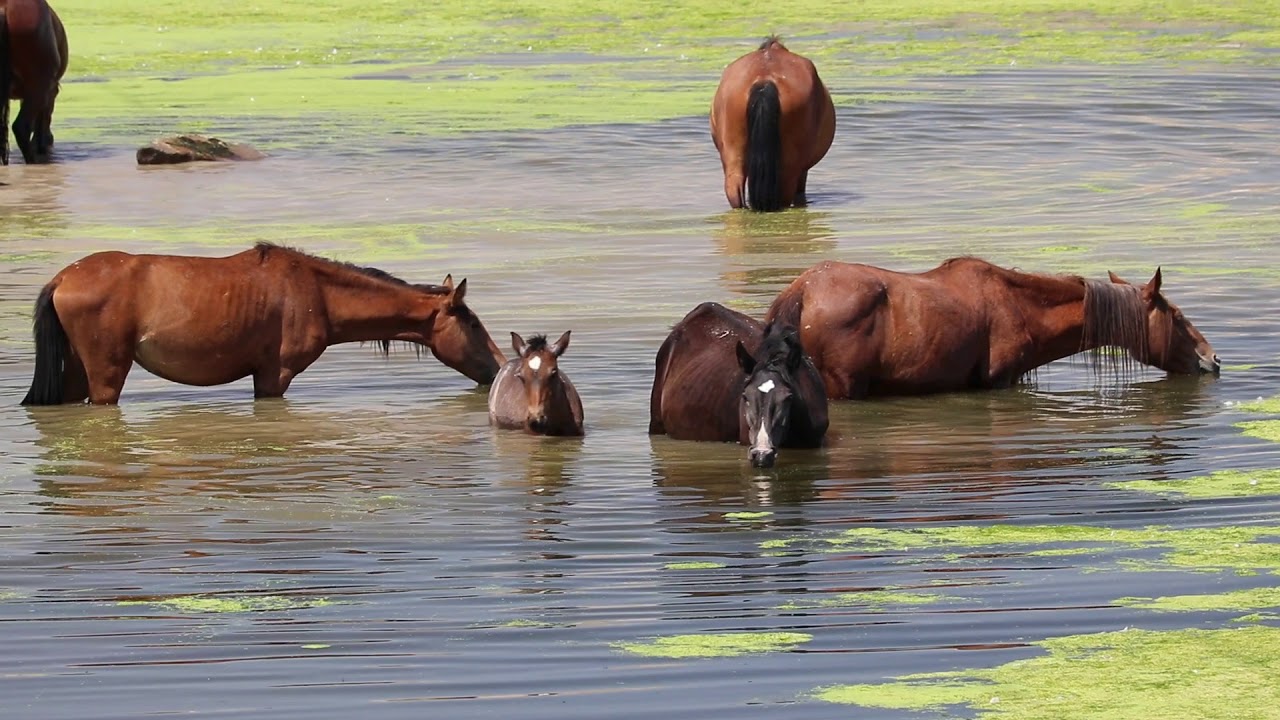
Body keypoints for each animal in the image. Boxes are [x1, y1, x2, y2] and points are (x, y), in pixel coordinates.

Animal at [20, 242, 506, 404]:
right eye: (473, 325)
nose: (499, 367)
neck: (317, 293)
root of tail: (64, 277)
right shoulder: (276, 375)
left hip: (77, 371)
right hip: (106, 374)